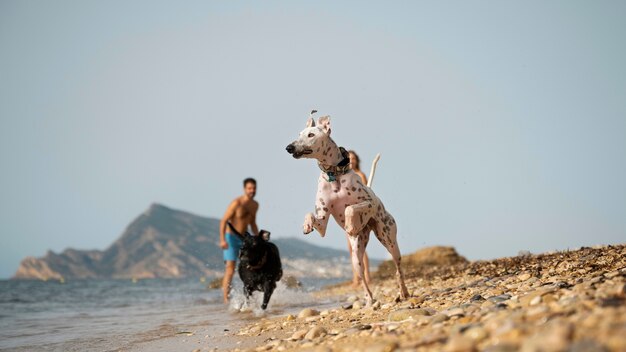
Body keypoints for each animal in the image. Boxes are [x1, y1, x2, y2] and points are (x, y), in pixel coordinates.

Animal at [284, 111, 410, 304]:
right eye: (299, 134)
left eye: (311, 135)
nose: (289, 147)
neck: (333, 174)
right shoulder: (322, 221)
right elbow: (311, 215)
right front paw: (306, 225)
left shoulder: (368, 203)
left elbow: (350, 208)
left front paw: (350, 224)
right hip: (356, 256)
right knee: (363, 277)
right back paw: (369, 299)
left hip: (389, 239)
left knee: (398, 268)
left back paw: (404, 292)